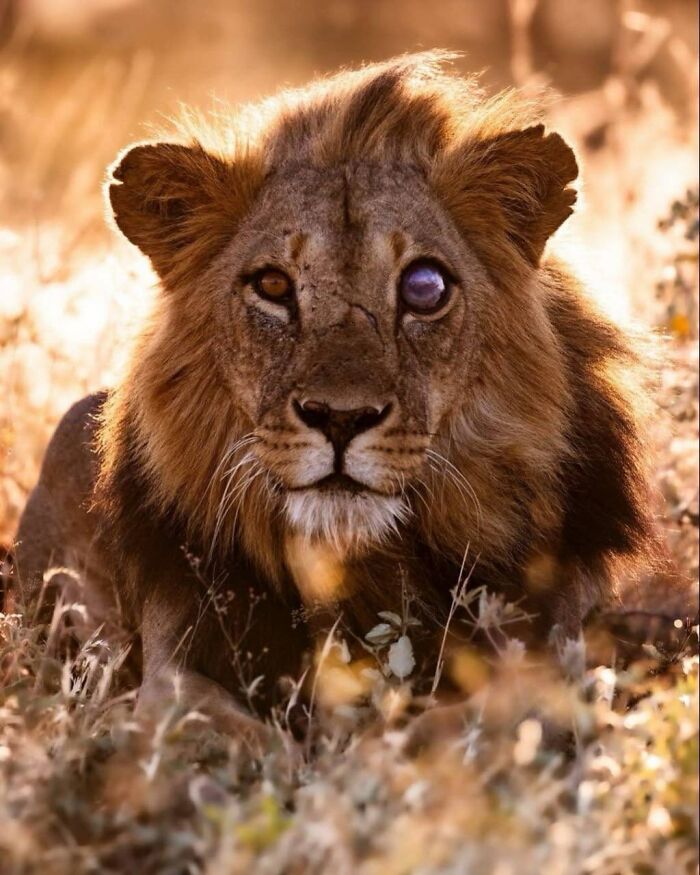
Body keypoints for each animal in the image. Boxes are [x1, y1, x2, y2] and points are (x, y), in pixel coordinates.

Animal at [8, 53, 695, 749]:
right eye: (272, 285)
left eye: (425, 287)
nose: (341, 419)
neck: (362, 571)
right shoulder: (170, 669)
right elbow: (207, 723)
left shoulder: (554, 658)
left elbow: (482, 716)